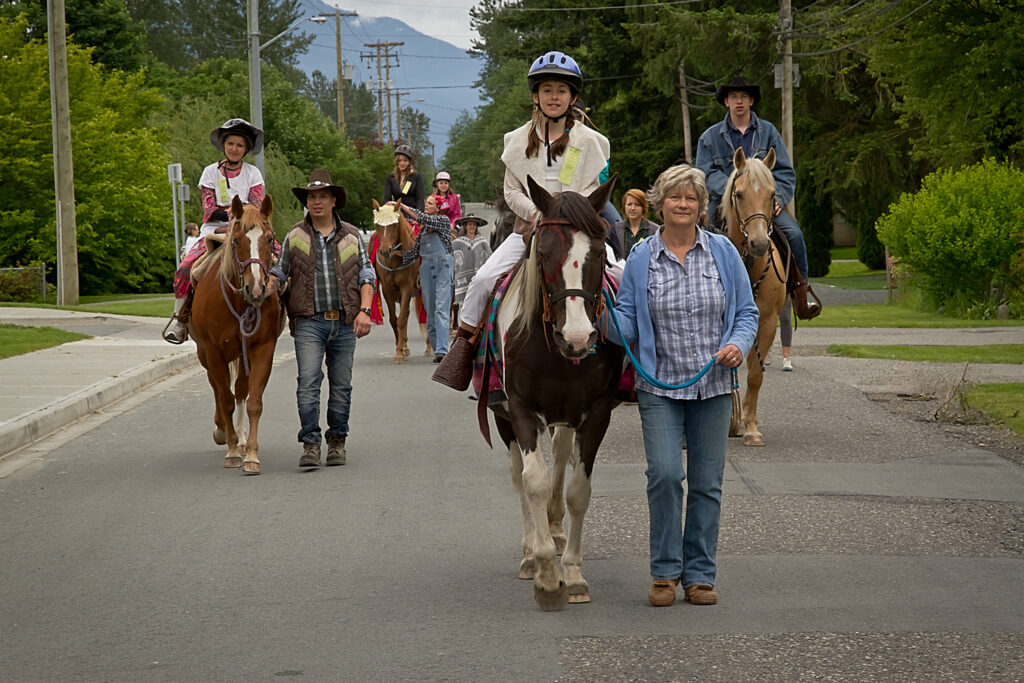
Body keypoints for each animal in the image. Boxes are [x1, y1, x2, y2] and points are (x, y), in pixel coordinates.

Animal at [188, 194, 282, 473]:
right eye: (237, 240)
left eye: (270, 239)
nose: (257, 288)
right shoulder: (214, 352)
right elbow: (225, 399)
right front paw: (230, 449)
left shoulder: (262, 349)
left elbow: (253, 401)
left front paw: (250, 453)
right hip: (205, 355)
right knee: (218, 390)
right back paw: (223, 432)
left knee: (239, 390)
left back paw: (239, 439)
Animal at [372, 198, 419, 362]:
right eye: (377, 225)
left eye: (394, 225)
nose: (385, 251)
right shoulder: (387, 289)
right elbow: (394, 319)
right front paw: (400, 349)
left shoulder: (407, 287)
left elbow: (401, 319)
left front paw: (399, 352)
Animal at [483, 174, 618, 610]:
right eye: (542, 253)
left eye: (599, 253)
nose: (577, 337)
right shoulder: (521, 410)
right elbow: (534, 481)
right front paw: (544, 572)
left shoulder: (596, 413)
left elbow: (577, 490)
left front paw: (572, 574)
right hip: (503, 418)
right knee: (519, 475)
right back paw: (531, 551)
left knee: (559, 454)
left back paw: (555, 530)